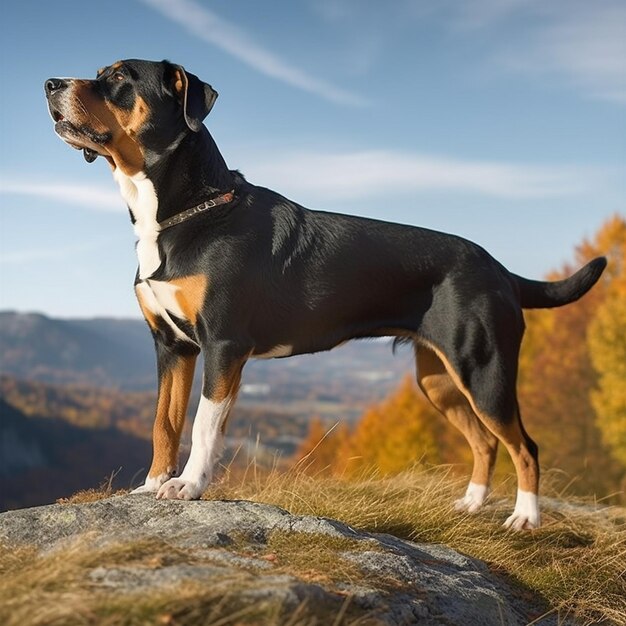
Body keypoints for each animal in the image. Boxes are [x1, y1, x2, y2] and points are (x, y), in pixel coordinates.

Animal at [45, 58, 604, 528]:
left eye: (120, 77)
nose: (49, 83)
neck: (181, 214)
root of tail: (498, 268)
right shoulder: (172, 346)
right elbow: (164, 422)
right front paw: (153, 484)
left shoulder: (223, 345)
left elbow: (203, 426)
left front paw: (188, 486)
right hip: (440, 380)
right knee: (485, 442)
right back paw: (470, 503)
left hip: (483, 370)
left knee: (524, 445)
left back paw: (525, 518)